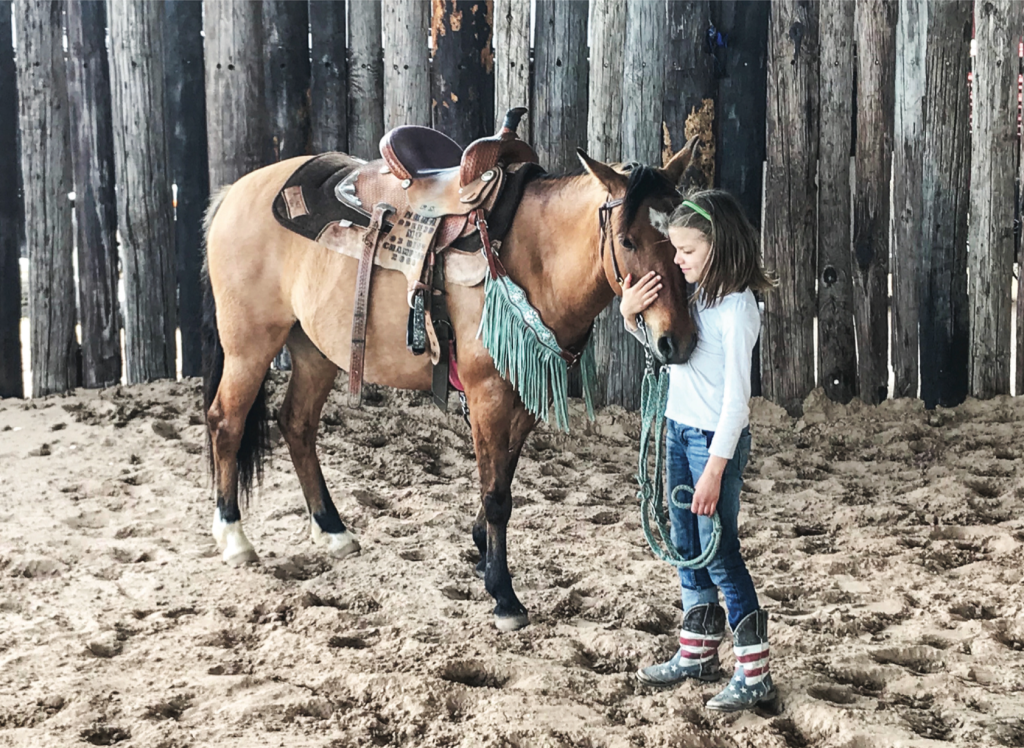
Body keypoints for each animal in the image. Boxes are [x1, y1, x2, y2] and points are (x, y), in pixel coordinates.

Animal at [201, 138, 700, 631]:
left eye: (679, 241)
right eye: (627, 240)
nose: (676, 342)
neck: (533, 256)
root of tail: (233, 192)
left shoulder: (523, 396)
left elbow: (503, 474)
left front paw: (481, 551)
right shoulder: (487, 393)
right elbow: (497, 494)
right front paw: (503, 595)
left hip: (315, 350)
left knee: (297, 424)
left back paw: (332, 530)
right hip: (250, 343)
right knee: (226, 422)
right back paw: (234, 538)